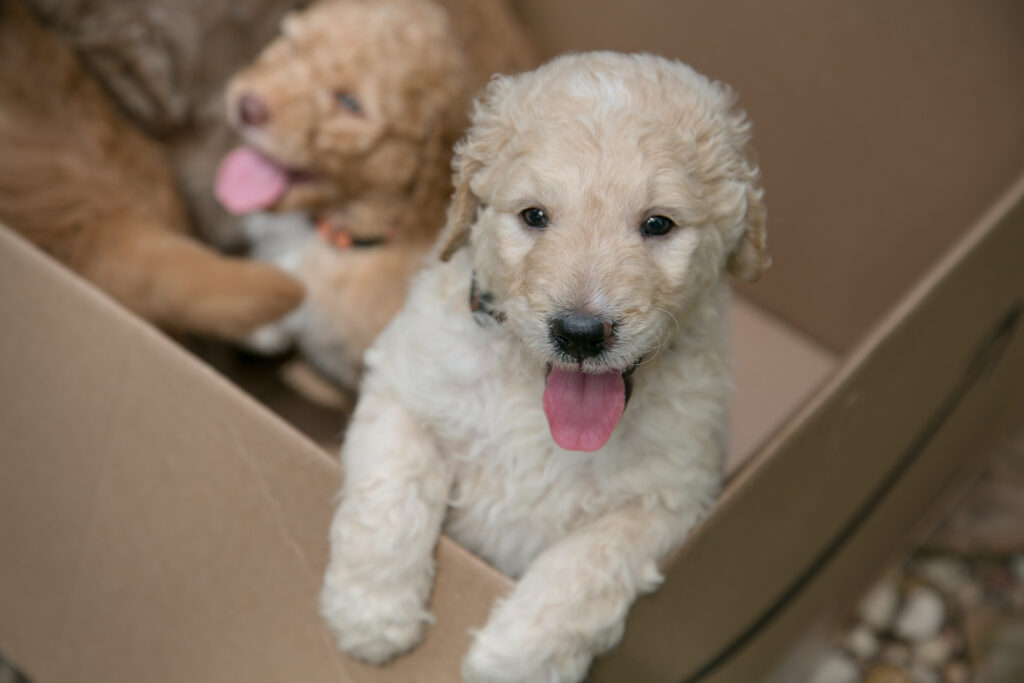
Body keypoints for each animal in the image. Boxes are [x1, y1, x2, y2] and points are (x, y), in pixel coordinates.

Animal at [319, 50, 770, 679]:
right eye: (534, 216)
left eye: (658, 224)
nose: (579, 334)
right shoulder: (406, 386)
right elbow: (388, 497)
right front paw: (372, 616)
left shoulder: (671, 495)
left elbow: (587, 567)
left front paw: (512, 659)